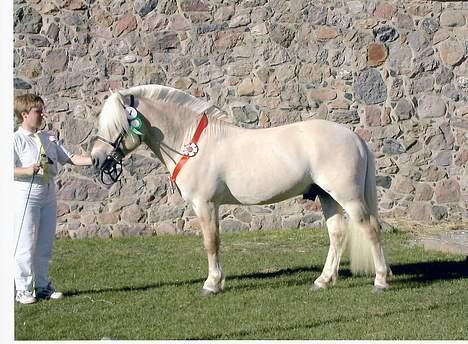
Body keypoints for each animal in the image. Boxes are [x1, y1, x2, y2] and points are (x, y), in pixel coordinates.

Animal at [89, 84, 390, 294]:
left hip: (348, 197)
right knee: (337, 234)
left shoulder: (205, 204)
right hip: (327, 196)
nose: (97, 159)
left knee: (371, 230)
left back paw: (380, 280)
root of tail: (356, 138)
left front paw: (212, 284)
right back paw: (323, 281)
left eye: (117, 125)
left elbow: (211, 242)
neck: (191, 142)